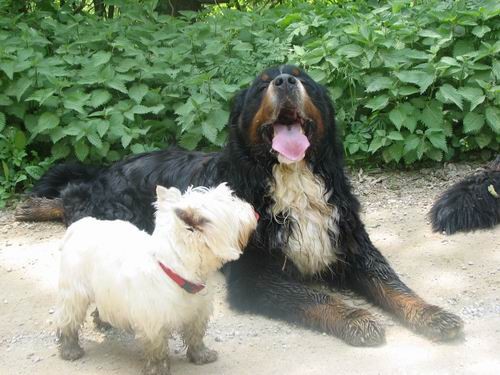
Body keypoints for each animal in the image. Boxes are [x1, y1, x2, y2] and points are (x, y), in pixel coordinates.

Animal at [15, 65, 462, 346]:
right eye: (263, 84)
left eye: (302, 78)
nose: (284, 80)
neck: (291, 179)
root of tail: (111, 168)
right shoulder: (255, 276)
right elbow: (316, 298)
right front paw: (358, 319)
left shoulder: (353, 248)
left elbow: (395, 286)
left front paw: (432, 313)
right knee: (74, 200)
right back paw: (36, 207)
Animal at [55, 184, 258, 374]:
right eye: (231, 205)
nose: (254, 211)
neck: (178, 271)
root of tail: (80, 224)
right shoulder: (153, 320)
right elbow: (157, 347)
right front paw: (158, 368)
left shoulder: (199, 312)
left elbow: (196, 334)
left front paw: (201, 355)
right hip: (74, 291)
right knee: (68, 317)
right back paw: (70, 349)